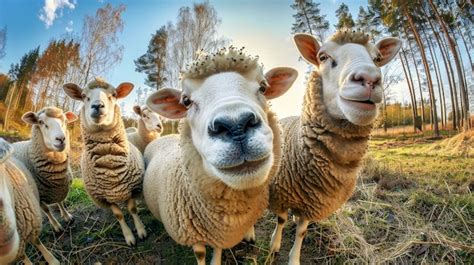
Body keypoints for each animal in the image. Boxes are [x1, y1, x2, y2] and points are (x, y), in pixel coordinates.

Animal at [63, 77, 145, 244]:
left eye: (113, 95)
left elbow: (132, 209)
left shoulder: (131, 189)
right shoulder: (103, 198)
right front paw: (129, 236)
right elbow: (119, 215)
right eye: (83, 96)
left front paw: (140, 230)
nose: (97, 106)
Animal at [264, 30, 402, 262]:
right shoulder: (280, 193)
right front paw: (274, 245)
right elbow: (280, 220)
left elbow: (302, 231)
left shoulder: (315, 203)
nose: (369, 79)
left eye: (377, 58)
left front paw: (294, 257)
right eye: (323, 57)